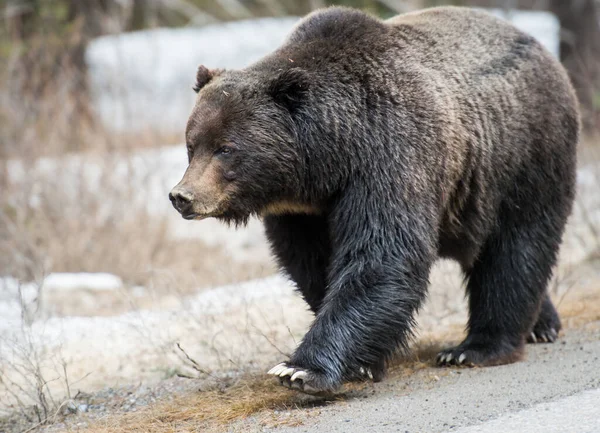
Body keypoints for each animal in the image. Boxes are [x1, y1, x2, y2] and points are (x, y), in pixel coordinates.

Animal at [170, 5, 580, 394]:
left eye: (226, 148)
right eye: (192, 144)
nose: (182, 196)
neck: (325, 164)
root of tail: (546, 52)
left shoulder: (390, 156)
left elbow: (381, 256)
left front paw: (301, 369)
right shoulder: (302, 212)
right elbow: (315, 266)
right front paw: (363, 363)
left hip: (521, 158)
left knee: (515, 247)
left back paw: (476, 347)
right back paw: (542, 325)